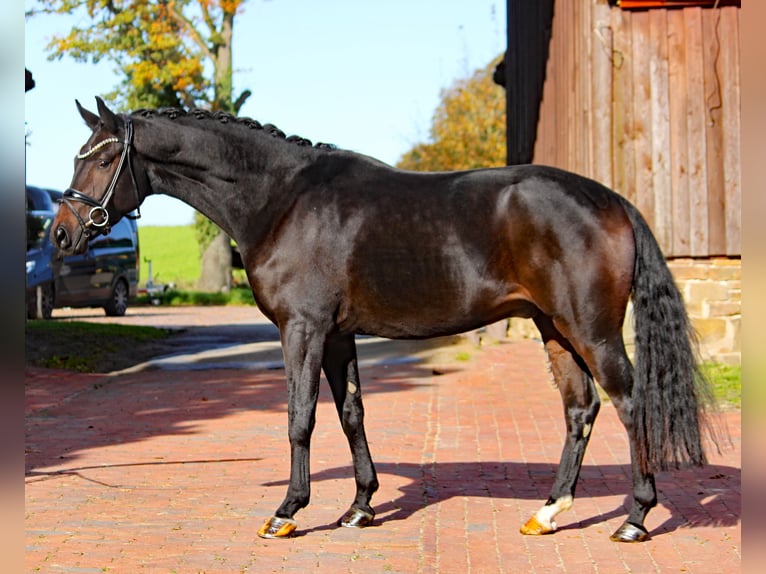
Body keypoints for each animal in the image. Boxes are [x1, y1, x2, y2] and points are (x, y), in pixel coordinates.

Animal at [51, 98, 716, 544]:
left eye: (104, 159)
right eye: (79, 156)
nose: (59, 233)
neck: (282, 198)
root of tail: (613, 201)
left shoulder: (303, 329)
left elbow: (299, 418)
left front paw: (288, 511)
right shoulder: (338, 335)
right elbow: (351, 414)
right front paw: (360, 507)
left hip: (590, 329)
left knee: (629, 403)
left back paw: (636, 517)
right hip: (553, 328)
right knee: (581, 409)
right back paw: (548, 512)